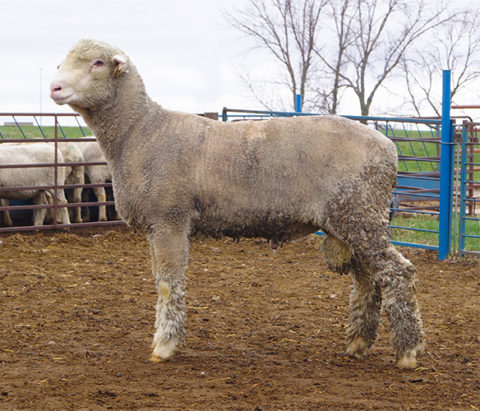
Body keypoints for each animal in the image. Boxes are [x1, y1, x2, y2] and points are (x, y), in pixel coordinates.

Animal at [48, 40, 424, 370]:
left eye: (97, 62)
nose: (54, 87)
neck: (141, 132)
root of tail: (389, 147)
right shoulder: (158, 224)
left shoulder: (169, 218)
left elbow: (169, 284)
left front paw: (165, 345)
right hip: (349, 221)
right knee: (367, 281)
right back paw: (358, 345)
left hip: (360, 215)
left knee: (397, 272)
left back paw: (408, 352)